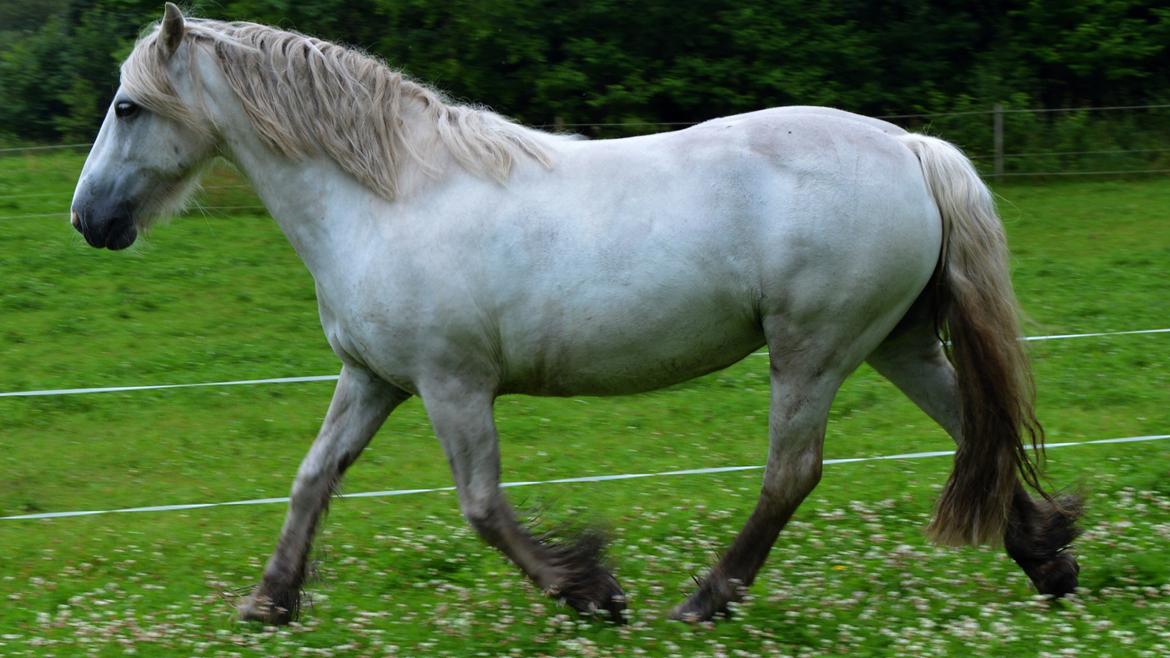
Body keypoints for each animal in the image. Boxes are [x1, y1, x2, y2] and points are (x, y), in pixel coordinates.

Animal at [73, 3, 1076, 618]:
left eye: (126, 106)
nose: (89, 221)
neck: (388, 196)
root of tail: (910, 147)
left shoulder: (452, 385)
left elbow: (482, 508)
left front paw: (589, 587)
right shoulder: (373, 378)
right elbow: (313, 478)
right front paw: (270, 600)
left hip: (814, 352)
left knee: (792, 474)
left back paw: (707, 597)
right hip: (893, 344)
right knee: (974, 432)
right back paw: (1047, 557)